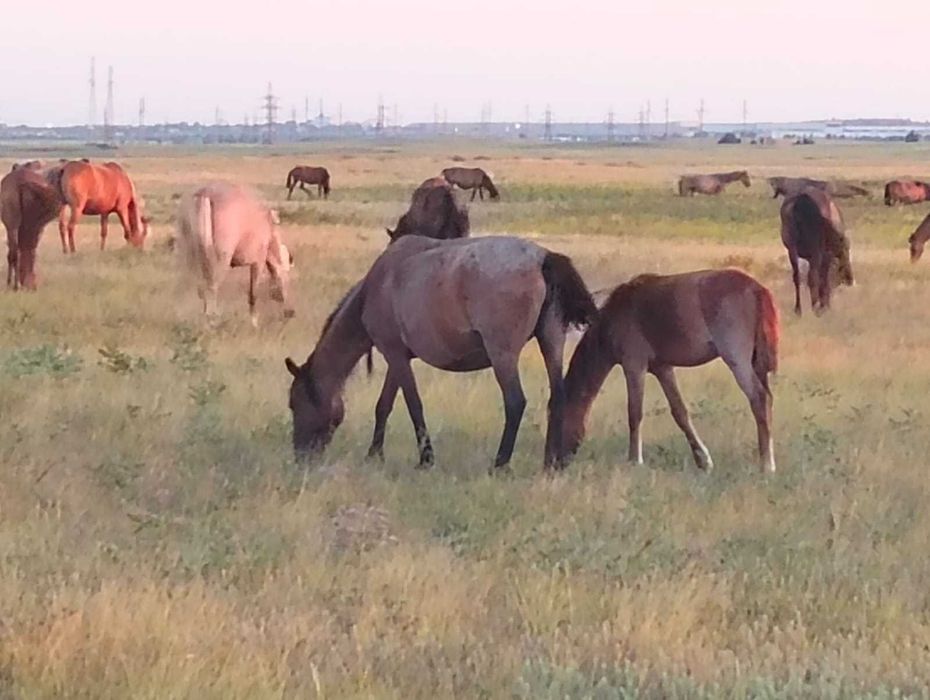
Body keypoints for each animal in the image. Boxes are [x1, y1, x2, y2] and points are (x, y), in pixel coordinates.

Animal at [176, 182, 293, 325]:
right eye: (287, 277)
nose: (290, 313)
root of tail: (205, 193)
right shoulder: (258, 261)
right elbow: (253, 293)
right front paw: (254, 322)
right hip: (220, 260)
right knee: (211, 288)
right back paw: (212, 321)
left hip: (190, 258)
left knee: (200, 289)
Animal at [284, 235, 596, 470]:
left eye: (295, 403)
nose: (300, 456)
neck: (375, 287)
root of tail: (543, 257)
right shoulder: (398, 357)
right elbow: (384, 405)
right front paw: (375, 454)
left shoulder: (394, 354)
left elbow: (413, 405)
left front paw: (426, 459)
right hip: (551, 341)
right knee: (558, 398)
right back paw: (552, 462)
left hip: (503, 354)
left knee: (515, 402)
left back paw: (500, 463)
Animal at [562, 269, 780, 473]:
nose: (558, 461)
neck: (617, 314)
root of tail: (756, 288)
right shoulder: (663, 369)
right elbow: (680, 412)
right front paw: (703, 460)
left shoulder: (634, 366)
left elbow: (635, 413)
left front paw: (635, 460)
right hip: (756, 365)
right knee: (767, 400)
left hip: (738, 361)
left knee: (759, 398)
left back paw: (767, 465)